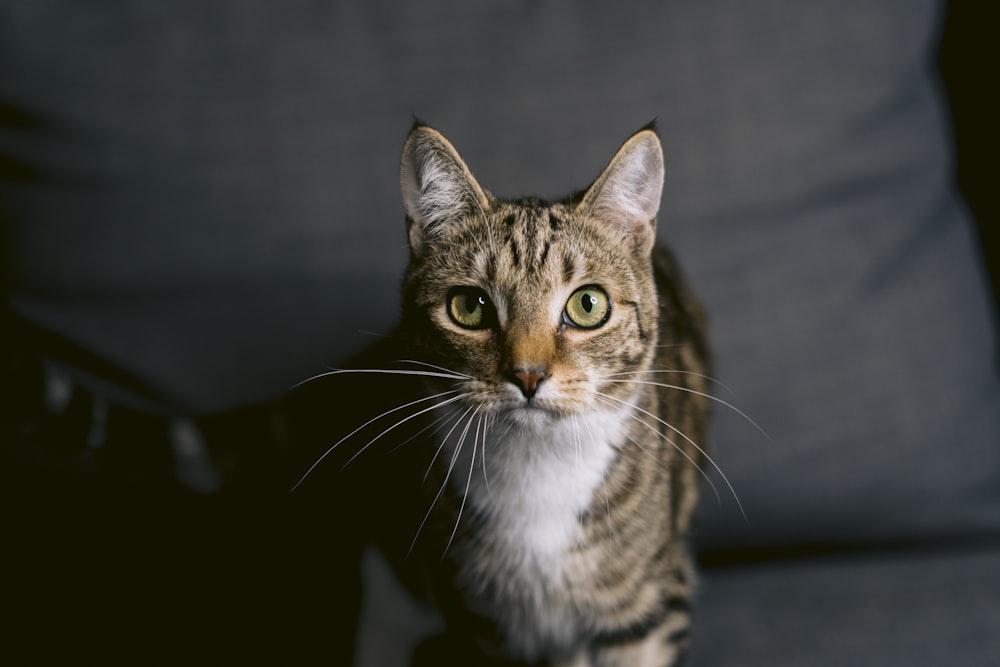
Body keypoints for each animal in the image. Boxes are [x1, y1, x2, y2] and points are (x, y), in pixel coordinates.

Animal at [292, 121, 716, 667]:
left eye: (588, 304)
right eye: (470, 306)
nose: (529, 375)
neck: (538, 470)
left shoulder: (649, 609)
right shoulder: (479, 618)